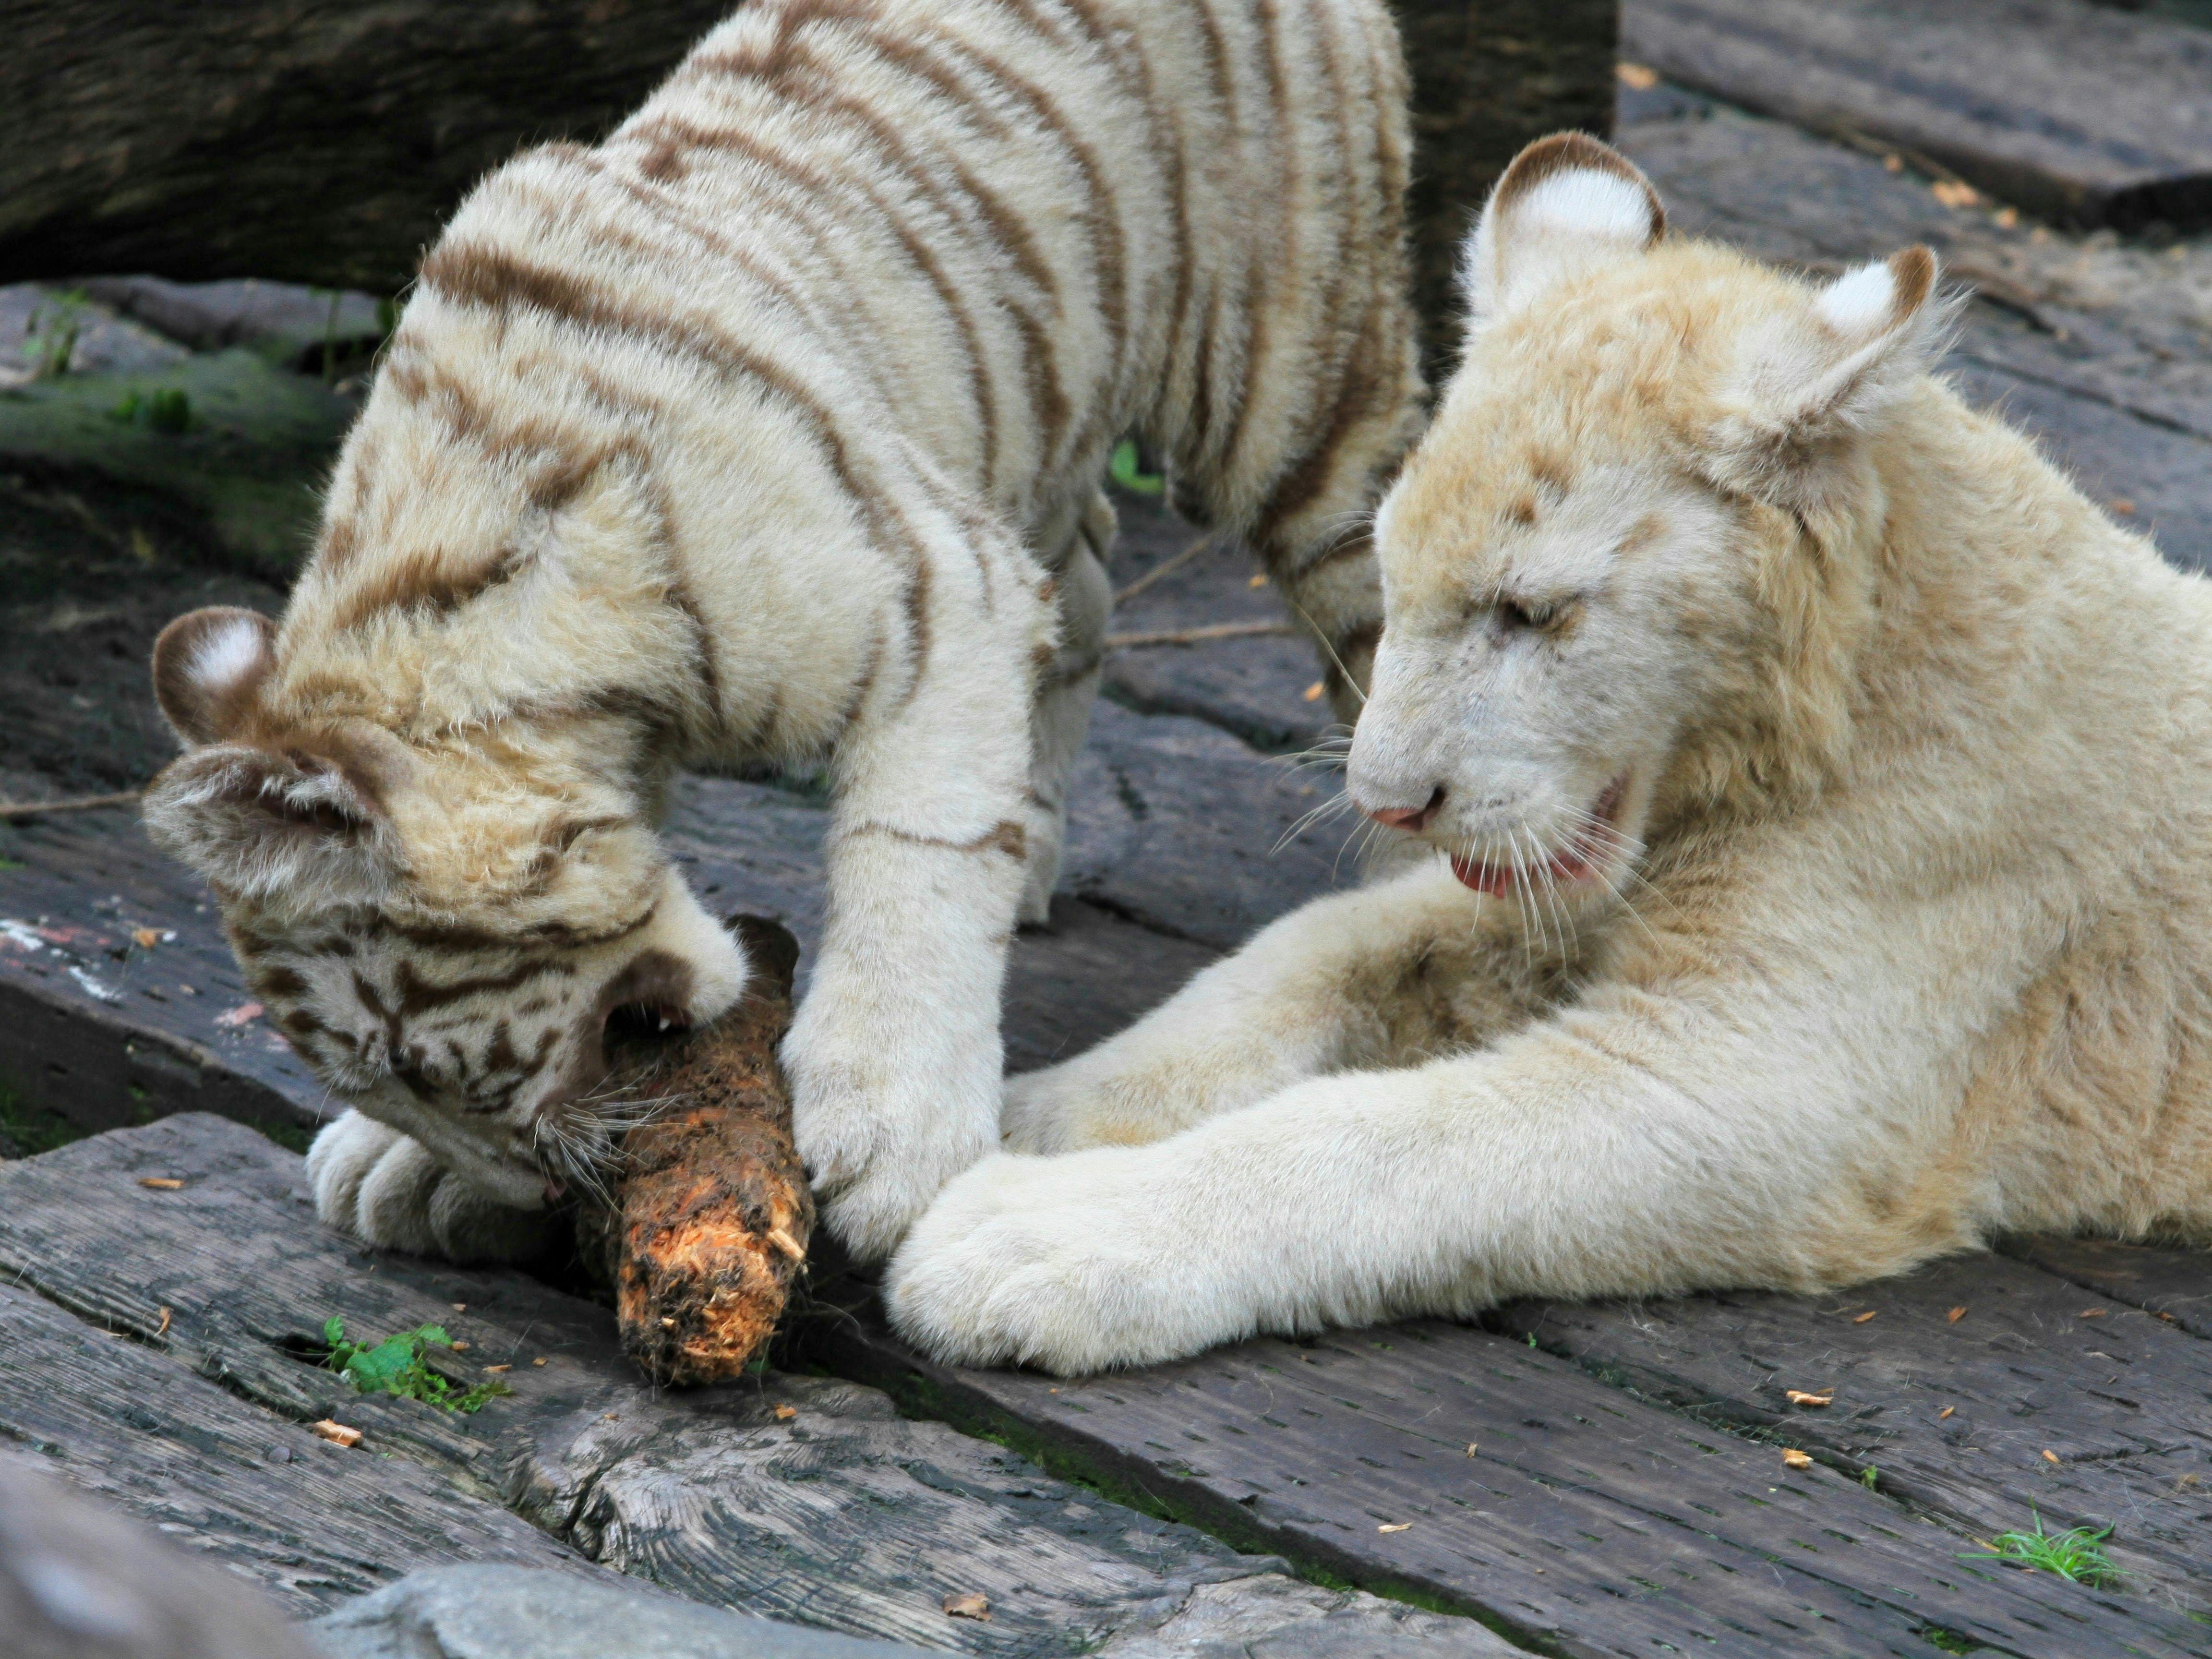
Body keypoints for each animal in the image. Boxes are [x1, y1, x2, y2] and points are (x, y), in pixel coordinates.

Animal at [883, 133, 2212, 1375]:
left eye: (1531, 613)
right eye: (1392, 571)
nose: (1388, 802)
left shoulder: (1760, 1080)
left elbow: (1385, 1137)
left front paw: (1029, 1237)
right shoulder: (1544, 895)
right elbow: (1305, 950)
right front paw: (1039, 1111)